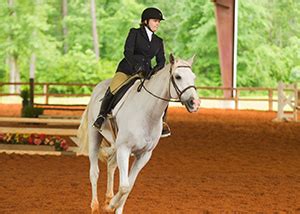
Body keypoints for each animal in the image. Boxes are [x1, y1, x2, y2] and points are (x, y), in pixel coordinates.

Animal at [77, 54, 199, 213]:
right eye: (178, 77)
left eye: (194, 77)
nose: (194, 103)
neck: (147, 113)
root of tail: (98, 87)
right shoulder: (124, 149)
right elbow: (124, 186)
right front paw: (110, 207)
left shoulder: (144, 155)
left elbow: (129, 186)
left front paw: (114, 207)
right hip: (95, 135)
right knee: (94, 172)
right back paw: (95, 206)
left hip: (116, 144)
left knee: (111, 165)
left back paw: (108, 198)